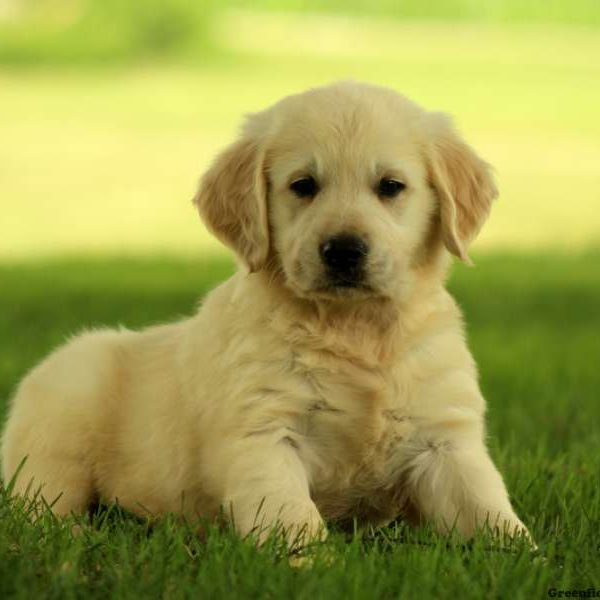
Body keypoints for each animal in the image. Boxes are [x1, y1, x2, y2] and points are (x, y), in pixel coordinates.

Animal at [3, 81, 528, 548]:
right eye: (303, 186)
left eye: (391, 186)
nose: (343, 250)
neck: (354, 327)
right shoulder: (263, 432)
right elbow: (291, 516)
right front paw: (315, 567)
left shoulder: (445, 439)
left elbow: (490, 513)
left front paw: (525, 559)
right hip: (60, 412)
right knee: (39, 503)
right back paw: (72, 536)